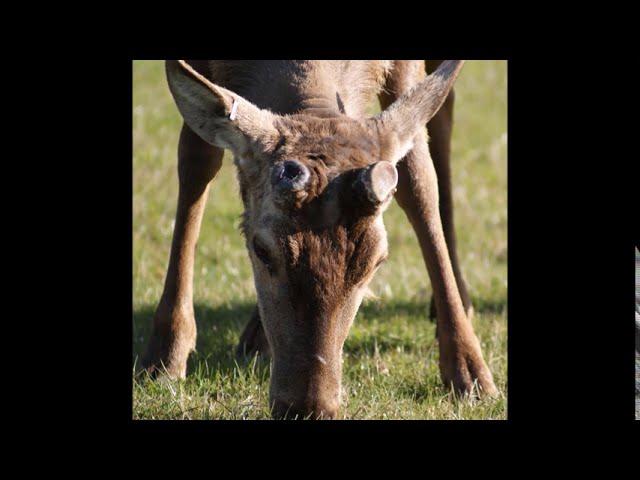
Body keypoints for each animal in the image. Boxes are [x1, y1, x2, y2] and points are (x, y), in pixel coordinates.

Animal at [141, 60, 500, 418]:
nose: (307, 407)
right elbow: (196, 162)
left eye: (376, 261)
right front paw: (164, 357)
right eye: (261, 250)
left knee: (444, 115)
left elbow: (419, 181)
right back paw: (255, 338)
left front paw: (471, 373)